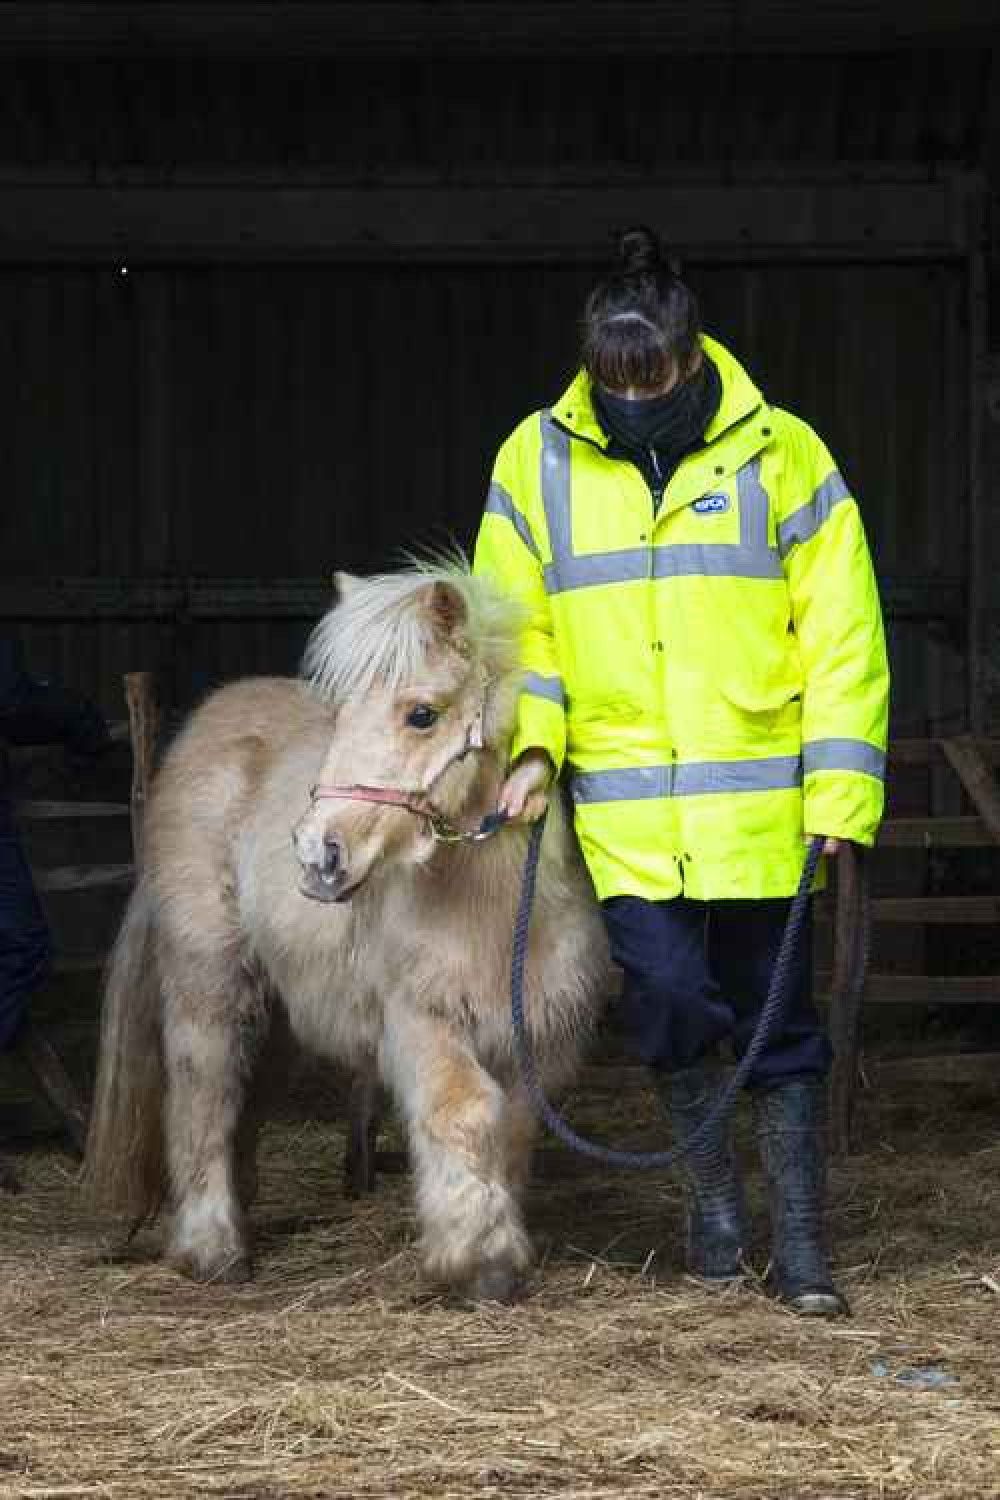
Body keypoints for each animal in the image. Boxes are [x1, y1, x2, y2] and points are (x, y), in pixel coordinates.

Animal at [82, 564, 611, 1302]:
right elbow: (462, 1111)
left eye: (422, 714)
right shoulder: (422, 1018)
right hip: (208, 978)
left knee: (245, 1097)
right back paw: (214, 1248)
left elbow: (512, 1128)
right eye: (339, 717)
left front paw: (499, 1246)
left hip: (277, 1009)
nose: (318, 854)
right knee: (203, 1093)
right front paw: (474, 1260)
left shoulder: (540, 1033)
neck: (496, 906)